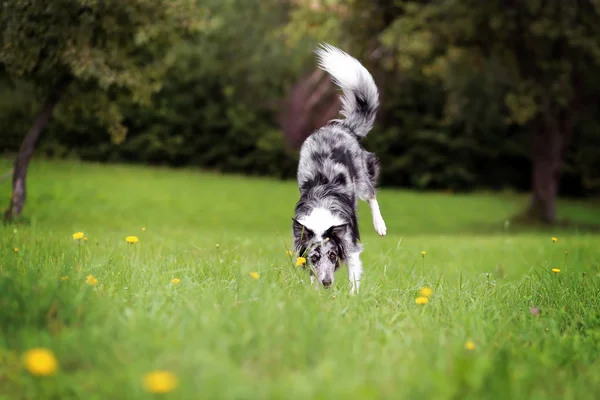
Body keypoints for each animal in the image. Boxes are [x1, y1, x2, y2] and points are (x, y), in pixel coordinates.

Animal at [292, 43, 386, 294]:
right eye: (314, 258)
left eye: (333, 255)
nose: (327, 283)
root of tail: (342, 127)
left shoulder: (350, 245)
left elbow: (354, 276)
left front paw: (353, 298)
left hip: (361, 176)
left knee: (371, 194)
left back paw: (380, 225)